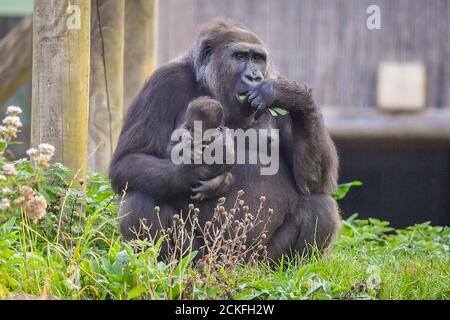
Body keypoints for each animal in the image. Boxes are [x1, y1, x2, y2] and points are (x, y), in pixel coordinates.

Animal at [110, 18, 342, 260]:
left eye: (257, 59)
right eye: (240, 56)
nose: (254, 76)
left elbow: (313, 181)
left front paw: (293, 95)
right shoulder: (164, 81)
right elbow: (130, 158)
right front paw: (199, 167)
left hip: (260, 260)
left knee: (319, 203)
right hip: (201, 256)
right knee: (140, 197)